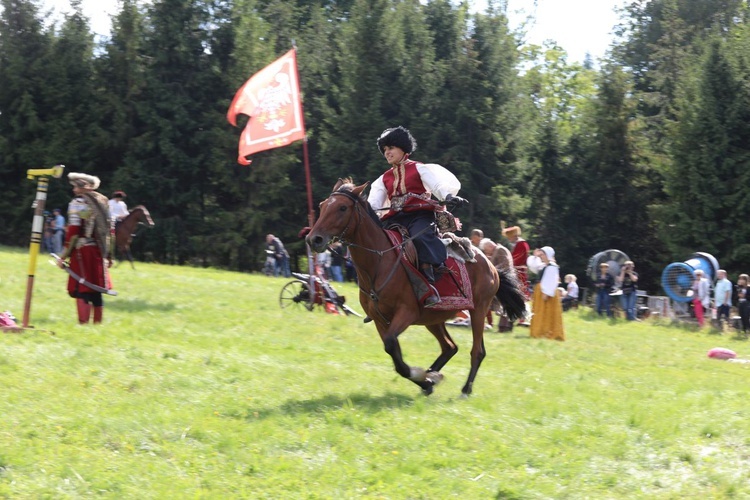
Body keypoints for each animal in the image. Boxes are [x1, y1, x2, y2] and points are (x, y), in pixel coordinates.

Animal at [306, 179, 528, 394]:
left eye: (342, 208)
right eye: (322, 206)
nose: (314, 239)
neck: (380, 262)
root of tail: (490, 265)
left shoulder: (406, 313)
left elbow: (392, 349)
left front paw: (423, 377)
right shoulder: (380, 320)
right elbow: (393, 352)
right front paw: (426, 381)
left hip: (478, 310)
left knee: (477, 351)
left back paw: (464, 389)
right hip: (434, 318)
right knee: (450, 347)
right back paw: (433, 376)